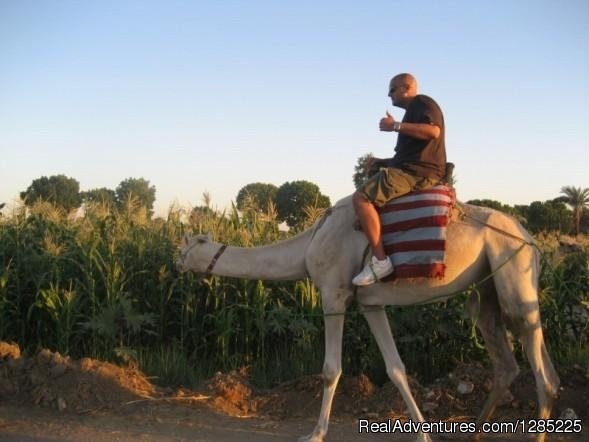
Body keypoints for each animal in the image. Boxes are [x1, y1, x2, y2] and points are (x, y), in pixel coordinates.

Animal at [176, 196, 560, 442]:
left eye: (185, 246)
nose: (173, 261)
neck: (308, 246)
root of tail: (531, 239)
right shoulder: (371, 304)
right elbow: (396, 368)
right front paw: (423, 435)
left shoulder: (333, 293)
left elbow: (331, 369)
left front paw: (315, 433)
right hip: (486, 291)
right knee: (507, 359)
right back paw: (477, 432)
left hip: (513, 273)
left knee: (540, 363)